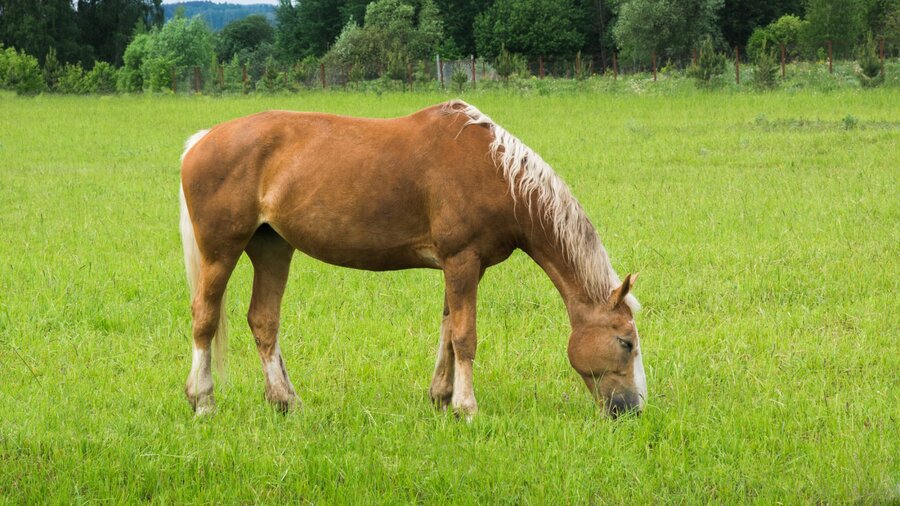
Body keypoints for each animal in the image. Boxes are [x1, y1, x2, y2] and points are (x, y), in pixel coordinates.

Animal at [179, 100, 646, 419]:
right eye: (626, 342)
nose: (632, 408)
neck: (497, 173)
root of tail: (200, 140)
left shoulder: (462, 268)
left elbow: (448, 331)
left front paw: (441, 398)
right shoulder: (462, 261)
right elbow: (465, 337)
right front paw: (467, 408)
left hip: (272, 247)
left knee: (264, 321)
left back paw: (285, 401)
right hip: (221, 251)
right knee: (205, 317)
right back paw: (203, 401)